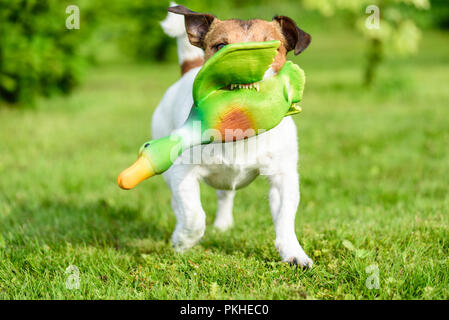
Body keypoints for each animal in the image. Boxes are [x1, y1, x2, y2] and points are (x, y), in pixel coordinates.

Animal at [154, 3, 312, 266]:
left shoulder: (283, 176)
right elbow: (194, 215)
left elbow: (285, 218)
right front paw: (183, 241)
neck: (240, 122)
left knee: (224, 195)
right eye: (220, 46)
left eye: (273, 48)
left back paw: (223, 224)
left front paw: (294, 254)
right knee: (180, 205)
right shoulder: (182, 173)